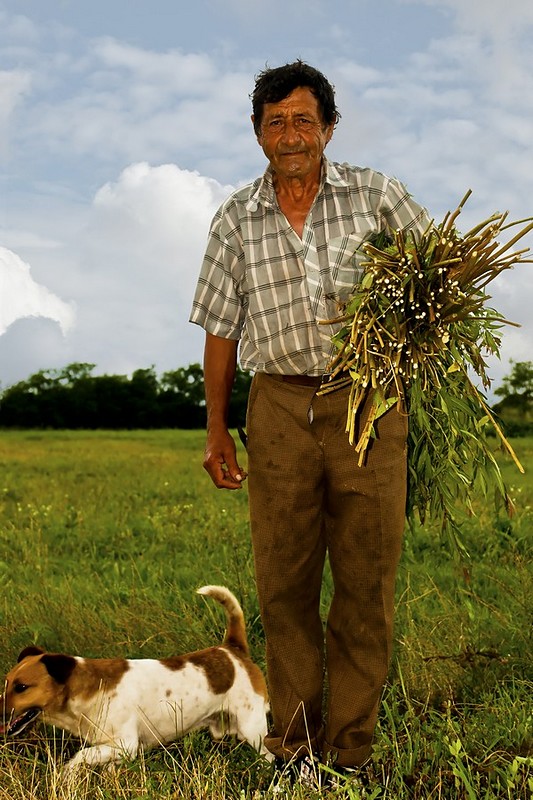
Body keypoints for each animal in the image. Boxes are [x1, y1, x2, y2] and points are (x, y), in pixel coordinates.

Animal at [0, 588, 272, 768]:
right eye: (7, 683)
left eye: (22, 687)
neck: (87, 689)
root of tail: (232, 649)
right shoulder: (112, 750)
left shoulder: (125, 744)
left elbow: (80, 757)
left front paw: (69, 775)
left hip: (253, 730)